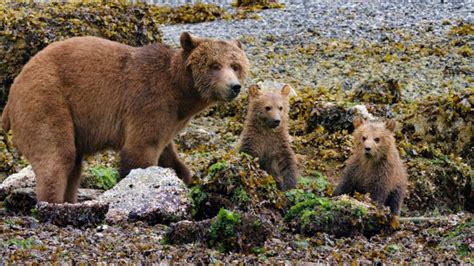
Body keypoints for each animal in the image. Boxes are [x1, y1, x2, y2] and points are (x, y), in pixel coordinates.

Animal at [0, 32, 252, 203]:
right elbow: (139, 150)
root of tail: (14, 87)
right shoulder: (149, 101)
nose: (234, 87)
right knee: (57, 153)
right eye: (214, 65)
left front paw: (182, 176)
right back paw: (52, 203)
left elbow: (167, 154)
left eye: (236, 65)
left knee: (73, 164)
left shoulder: (172, 119)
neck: (181, 91)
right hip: (46, 98)